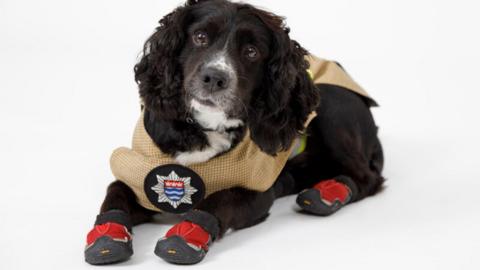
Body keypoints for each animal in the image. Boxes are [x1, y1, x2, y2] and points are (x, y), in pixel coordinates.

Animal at [84, 0, 384, 266]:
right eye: (200, 37)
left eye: (251, 51)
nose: (215, 78)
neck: (203, 127)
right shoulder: (138, 171)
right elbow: (115, 194)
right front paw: (106, 239)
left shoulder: (257, 191)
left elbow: (219, 200)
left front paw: (186, 237)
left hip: (332, 105)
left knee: (366, 177)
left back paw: (328, 194)